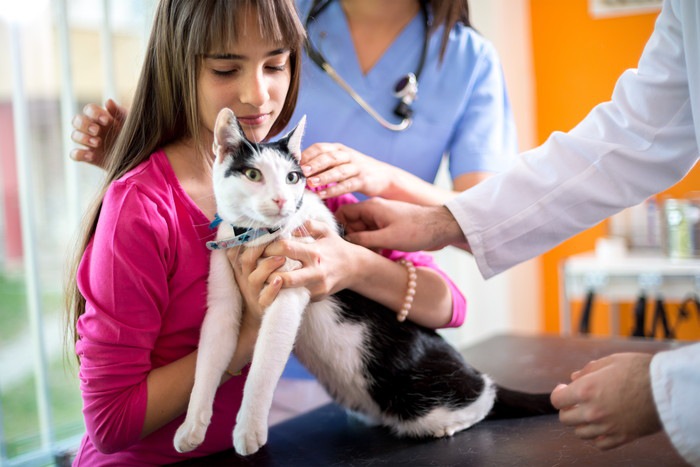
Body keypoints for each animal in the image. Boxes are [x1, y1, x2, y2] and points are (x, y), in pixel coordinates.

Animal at [174, 109, 552, 458]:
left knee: (478, 397)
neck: (254, 237)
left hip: (420, 397)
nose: (282, 200)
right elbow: (209, 356)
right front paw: (191, 428)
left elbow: (264, 366)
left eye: (293, 177)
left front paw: (249, 430)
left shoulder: (291, 288)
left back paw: (452, 420)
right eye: (253, 174)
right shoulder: (221, 296)